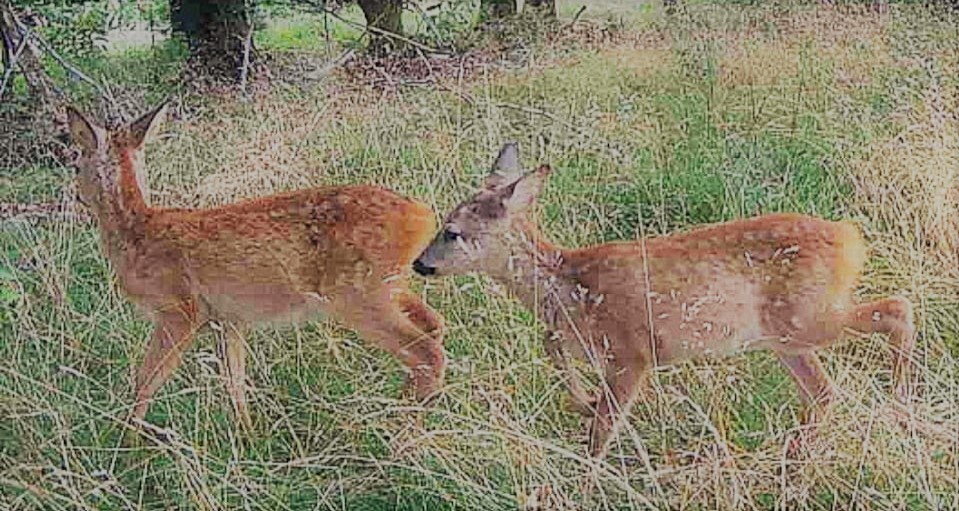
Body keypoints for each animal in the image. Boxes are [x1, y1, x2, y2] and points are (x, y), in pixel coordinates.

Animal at [65, 104, 448, 432]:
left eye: (76, 164)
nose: (76, 195)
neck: (137, 231)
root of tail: (423, 218)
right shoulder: (229, 319)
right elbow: (235, 381)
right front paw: (248, 436)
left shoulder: (178, 309)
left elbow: (146, 380)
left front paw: (127, 443)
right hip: (387, 285)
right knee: (434, 326)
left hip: (358, 294)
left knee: (426, 351)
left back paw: (402, 428)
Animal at [412, 144, 916, 460]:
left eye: (452, 232)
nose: (419, 264)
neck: (567, 285)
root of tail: (851, 239)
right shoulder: (580, 341)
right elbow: (553, 350)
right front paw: (584, 401)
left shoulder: (632, 352)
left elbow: (601, 432)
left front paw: (588, 473)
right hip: (784, 338)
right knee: (823, 391)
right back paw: (794, 456)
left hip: (807, 317)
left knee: (897, 309)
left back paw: (900, 404)